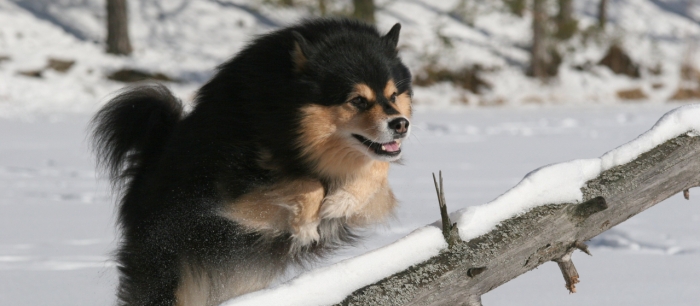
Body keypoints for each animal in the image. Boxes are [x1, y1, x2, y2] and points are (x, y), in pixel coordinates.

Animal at [91, 17, 412, 304]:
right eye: (357, 100)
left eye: (394, 95)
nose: (401, 124)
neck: (284, 118)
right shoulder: (233, 194)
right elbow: (306, 183)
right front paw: (307, 224)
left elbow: (374, 173)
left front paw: (340, 202)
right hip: (167, 266)